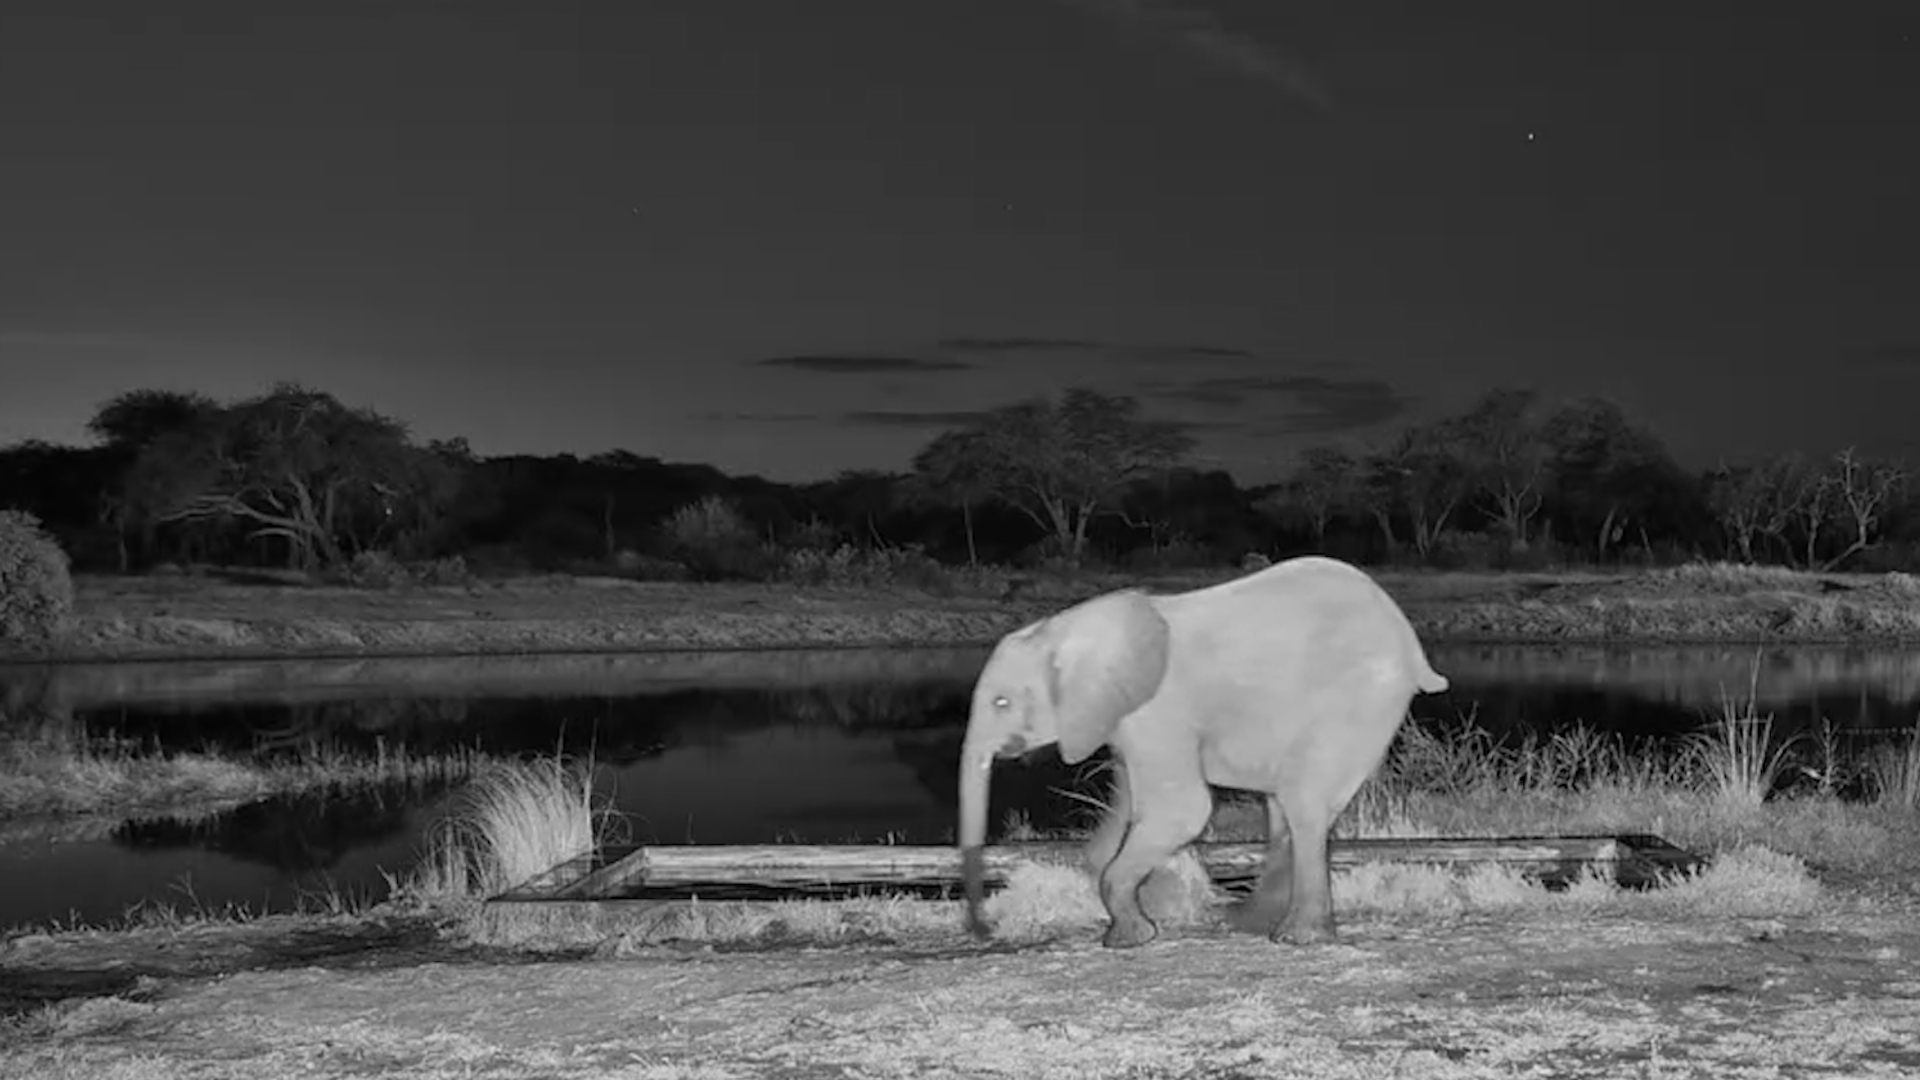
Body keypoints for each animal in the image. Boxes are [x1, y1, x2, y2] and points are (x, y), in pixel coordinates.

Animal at [957, 555, 1449, 949]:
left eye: (1001, 702)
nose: (982, 932)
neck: (1064, 629)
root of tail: (1416, 651)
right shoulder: (1122, 718)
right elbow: (1126, 810)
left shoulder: (1157, 713)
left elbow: (1183, 810)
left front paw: (1128, 939)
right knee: (1283, 806)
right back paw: (1252, 923)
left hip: (1357, 701)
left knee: (1302, 801)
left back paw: (1296, 936)